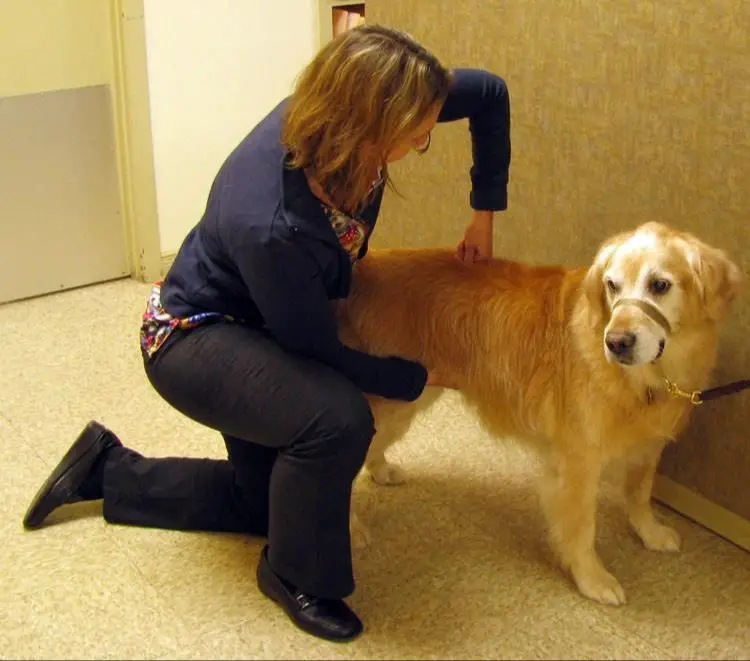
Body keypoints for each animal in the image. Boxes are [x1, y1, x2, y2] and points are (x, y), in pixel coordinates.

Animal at [340, 220, 748, 604]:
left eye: (660, 285)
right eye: (612, 285)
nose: (616, 343)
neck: (644, 377)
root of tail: (362, 268)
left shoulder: (647, 445)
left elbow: (639, 493)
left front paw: (650, 532)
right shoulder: (578, 460)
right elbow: (582, 527)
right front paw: (592, 579)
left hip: (407, 396)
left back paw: (382, 471)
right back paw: (352, 528)